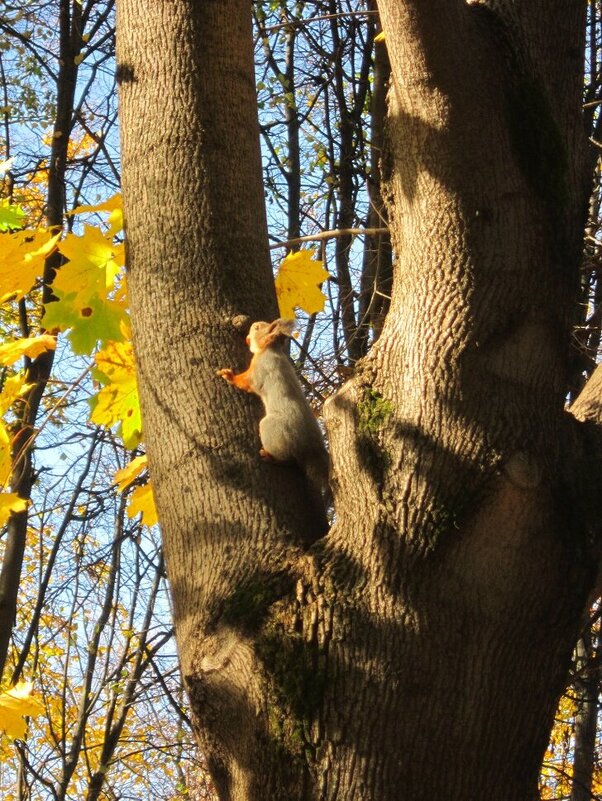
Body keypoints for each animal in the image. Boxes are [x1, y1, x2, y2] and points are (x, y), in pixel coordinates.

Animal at [216, 316, 328, 510]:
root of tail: (309, 447)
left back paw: (269, 456)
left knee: (287, 459)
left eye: (258, 328)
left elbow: (245, 382)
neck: (268, 349)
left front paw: (228, 375)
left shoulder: (259, 371)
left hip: (274, 430)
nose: (249, 330)